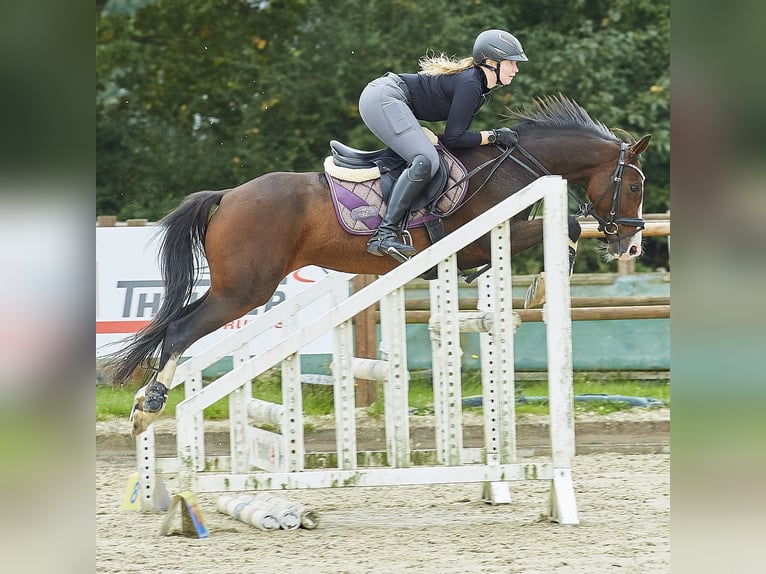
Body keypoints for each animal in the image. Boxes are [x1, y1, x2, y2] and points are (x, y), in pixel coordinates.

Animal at [105, 95, 652, 436]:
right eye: (634, 185)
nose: (630, 246)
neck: (516, 165)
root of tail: (228, 196)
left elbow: (565, 229)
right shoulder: (481, 240)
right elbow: (569, 227)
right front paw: (541, 287)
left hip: (236, 287)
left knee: (174, 326)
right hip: (244, 290)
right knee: (180, 330)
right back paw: (146, 408)